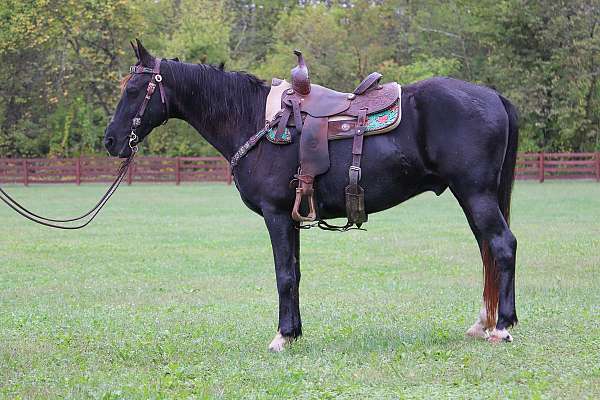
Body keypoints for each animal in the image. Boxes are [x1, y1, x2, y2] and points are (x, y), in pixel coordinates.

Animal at [105, 40, 516, 352]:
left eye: (132, 90)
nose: (110, 141)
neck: (255, 120)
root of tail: (493, 95)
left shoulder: (276, 215)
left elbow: (284, 274)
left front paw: (282, 337)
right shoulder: (292, 217)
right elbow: (296, 272)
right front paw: (295, 332)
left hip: (475, 194)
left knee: (502, 245)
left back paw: (503, 326)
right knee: (486, 250)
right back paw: (484, 322)